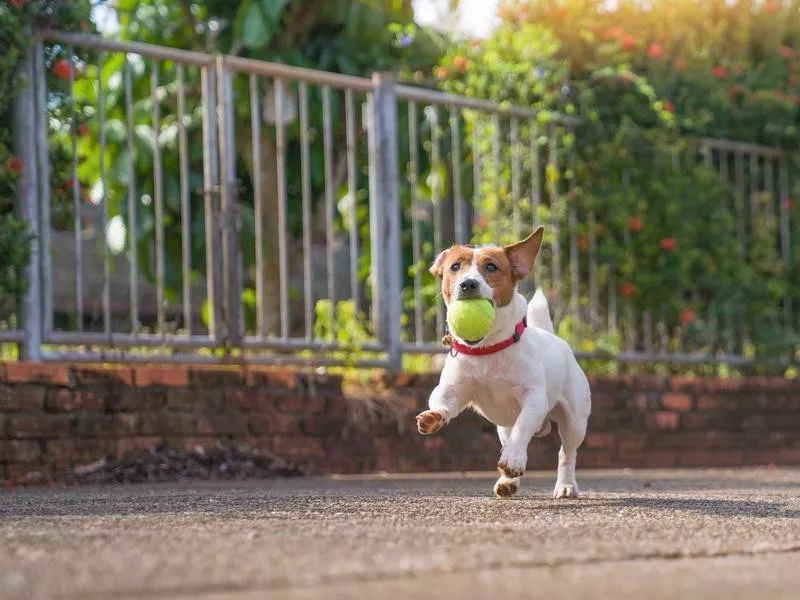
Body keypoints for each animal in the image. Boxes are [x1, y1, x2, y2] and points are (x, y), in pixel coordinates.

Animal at [416, 227, 592, 500]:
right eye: (455, 267)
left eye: (491, 267)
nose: (468, 283)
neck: (488, 349)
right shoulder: (453, 390)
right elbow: (442, 402)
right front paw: (434, 416)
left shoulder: (533, 398)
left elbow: (523, 427)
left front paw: (514, 459)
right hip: (503, 425)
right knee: (509, 436)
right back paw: (508, 482)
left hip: (574, 420)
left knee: (566, 452)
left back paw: (566, 485)